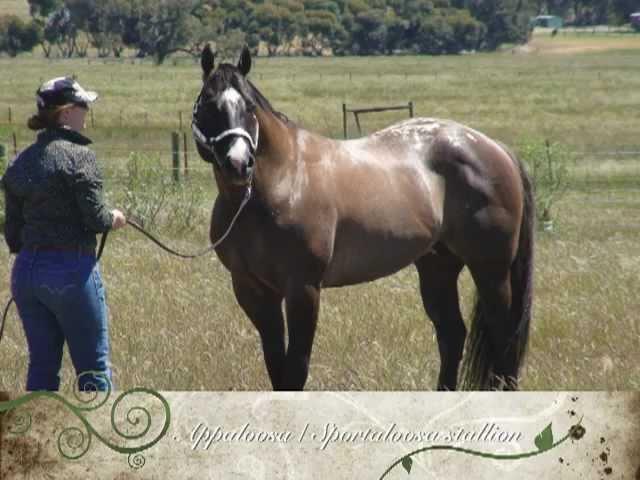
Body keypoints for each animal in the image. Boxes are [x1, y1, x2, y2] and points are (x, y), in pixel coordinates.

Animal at [191, 44, 536, 390]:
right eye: (207, 103)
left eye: (249, 106)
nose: (239, 164)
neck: (283, 181)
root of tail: (495, 148)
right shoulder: (253, 290)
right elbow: (276, 367)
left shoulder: (303, 289)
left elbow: (296, 369)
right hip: (438, 267)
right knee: (452, 335)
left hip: (490, 270)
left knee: (503, 336)